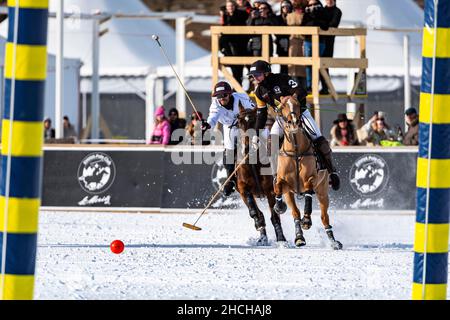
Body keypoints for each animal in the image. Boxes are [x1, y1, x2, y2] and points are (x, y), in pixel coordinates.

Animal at [234, 104, 286, 245]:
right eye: (239, 122)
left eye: (254, 122)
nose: (246, 148)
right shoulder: (243, 188)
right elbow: (254, 212)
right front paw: (259, 227)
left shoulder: (270, 190)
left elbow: (275, 216)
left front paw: (281, 239)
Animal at [272, 97, 342, 250]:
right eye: (282, 106)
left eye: (298, 104)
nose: (293, 122)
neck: (295, 150)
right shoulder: (284, 184)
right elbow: (278, 187)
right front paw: (279, 207)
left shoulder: (310, 179)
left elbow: (309, 194)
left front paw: (307, 221)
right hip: (291, 194)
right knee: (295, 213)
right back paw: (299, 238)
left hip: (322, 191)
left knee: (324, 217)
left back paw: (334, 242)